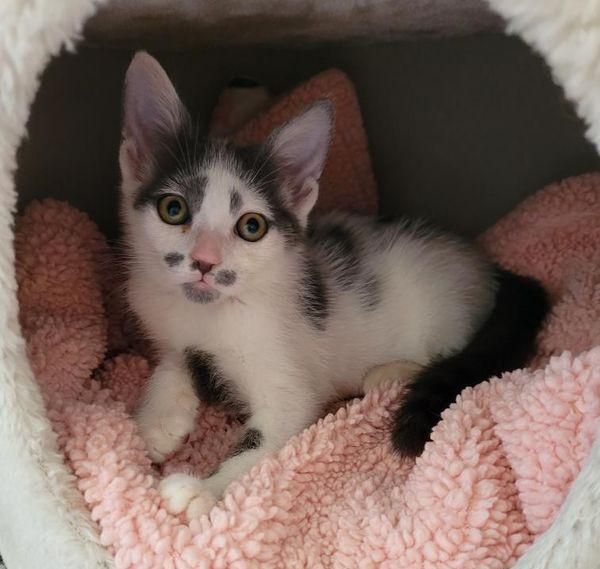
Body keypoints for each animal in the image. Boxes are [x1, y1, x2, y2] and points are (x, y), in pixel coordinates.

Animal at [120, 53, 548, 520]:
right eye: (173, 209)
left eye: (251, 226)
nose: (204, 261)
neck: (209, 313)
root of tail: (490, 266)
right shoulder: (170, 328)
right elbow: (173, 361)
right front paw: (157, 420)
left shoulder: (288, 385)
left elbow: (261, 443)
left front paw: (203, 490)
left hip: (445, 312)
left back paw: (388, 374)